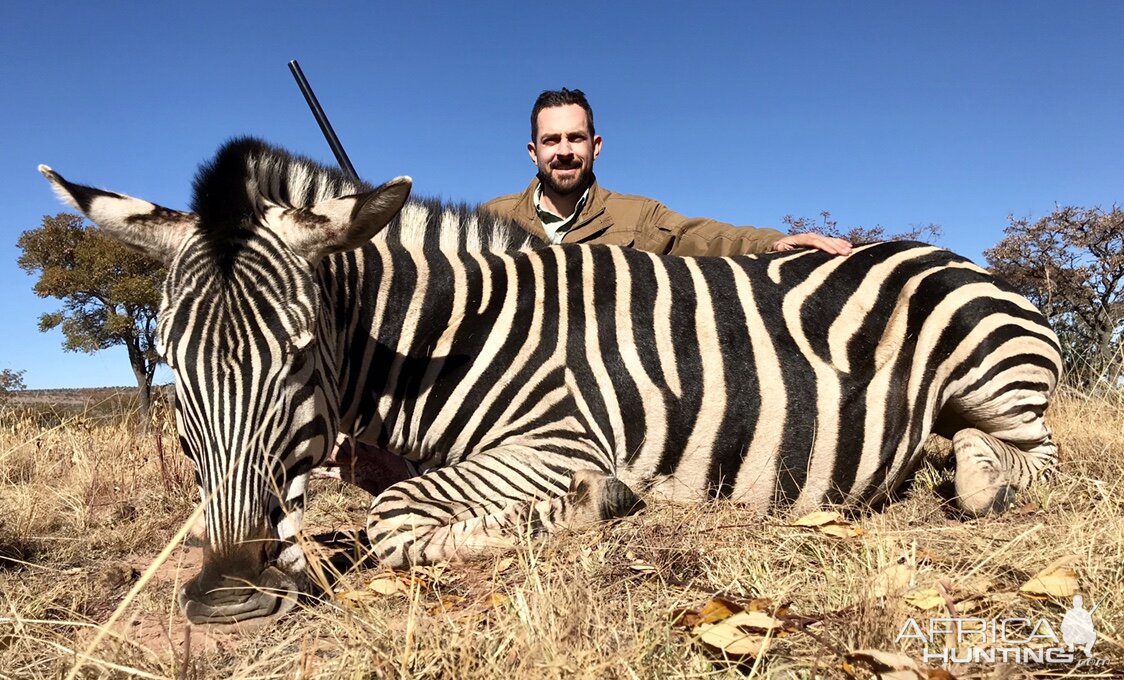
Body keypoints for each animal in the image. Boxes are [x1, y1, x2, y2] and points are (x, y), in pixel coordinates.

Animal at [41, 136, 1061, 620]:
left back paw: (975, 475)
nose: (225, 595)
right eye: (174, 365)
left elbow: (393, 517)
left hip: (992, 374)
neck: (444, 335)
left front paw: (595, 506)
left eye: (298, 351)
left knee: (1028, 458)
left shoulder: (560, 438)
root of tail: (958, 258)